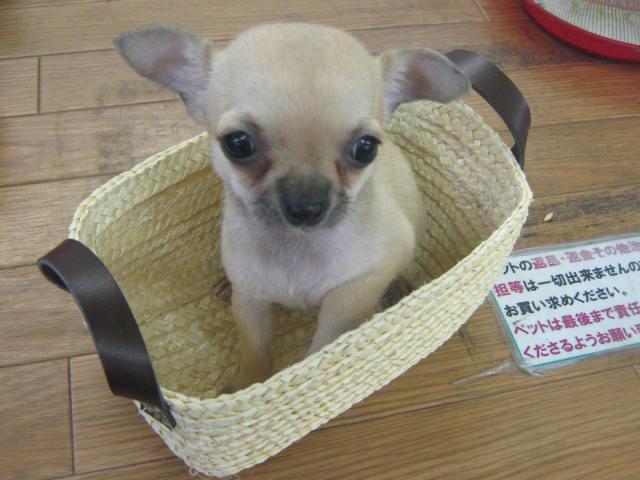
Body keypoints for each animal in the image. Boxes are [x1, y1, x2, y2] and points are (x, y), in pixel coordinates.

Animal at [116, 23, 470, 392]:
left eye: (366, 148)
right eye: (238, 144)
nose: (307, 206)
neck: (297, 247)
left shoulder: (358, 286)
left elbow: (325, 343)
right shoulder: (250, 302)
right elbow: (254, 351)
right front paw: (247, 385)